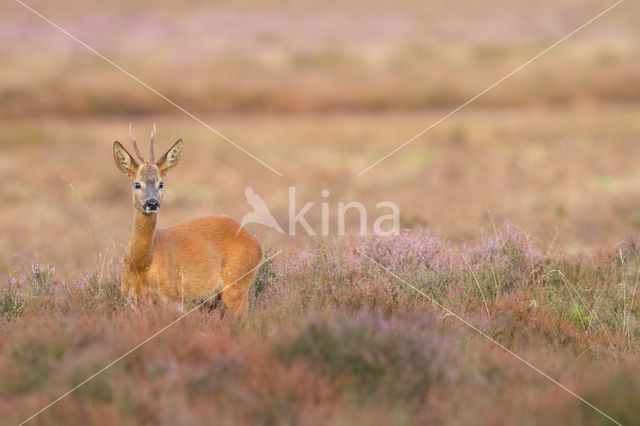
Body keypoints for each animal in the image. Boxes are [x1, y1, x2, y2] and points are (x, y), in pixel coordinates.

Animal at [113, 125, 262, 314]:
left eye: (161, 183)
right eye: (137, 184)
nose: (152, 203)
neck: (140, 266)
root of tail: (257, 244)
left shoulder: (173, 297)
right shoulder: (131, 301)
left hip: (236, 283)